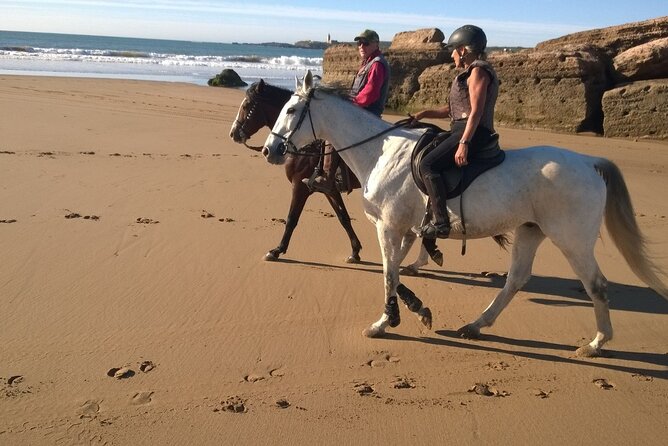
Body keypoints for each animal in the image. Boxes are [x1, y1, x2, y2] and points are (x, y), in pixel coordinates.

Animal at [230, 80, 444, 268]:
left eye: (247, 105)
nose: (233, 133)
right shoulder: (329, 190)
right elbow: (344, 219)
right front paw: (355, 251)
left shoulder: (300, 186)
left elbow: (292, 219)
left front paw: (277, 250)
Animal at [262, 71, 668, 358]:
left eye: (292, 111)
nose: (269, 150)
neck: (381, 152)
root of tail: (588, 161)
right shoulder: (404, 229)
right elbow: (396, 271)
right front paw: (416, 310)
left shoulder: (389, 227)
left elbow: (389, 274)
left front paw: (384, 322)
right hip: (530, 230)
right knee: (516, 280)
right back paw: (476, 325)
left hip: (572, 240)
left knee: (595, 285)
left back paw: (597, 343)